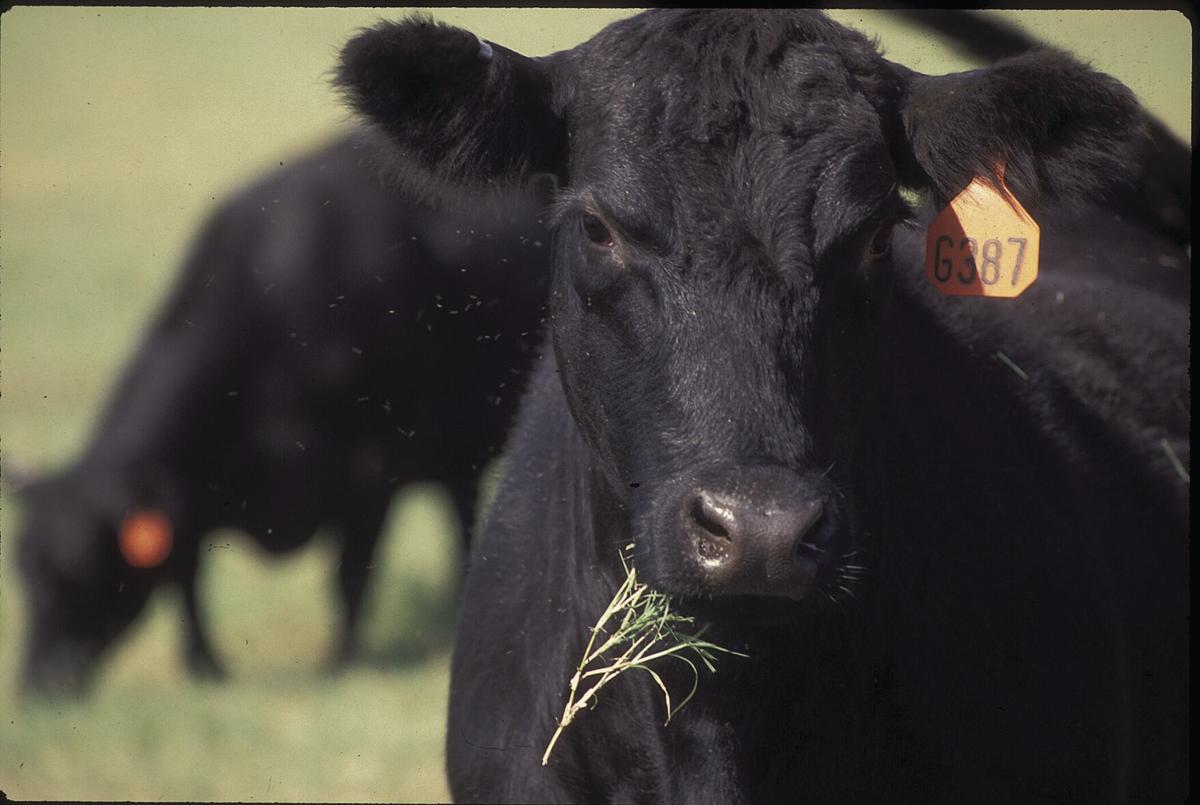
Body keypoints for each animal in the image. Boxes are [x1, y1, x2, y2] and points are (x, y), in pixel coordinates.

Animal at [15, 131, 551, 695]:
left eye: (79, 573)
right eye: (21, 574)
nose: (36, 685)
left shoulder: (370, 470)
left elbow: (350, 574)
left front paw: (341, 662)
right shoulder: (190, 492)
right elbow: (186, 579)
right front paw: (207, 666)